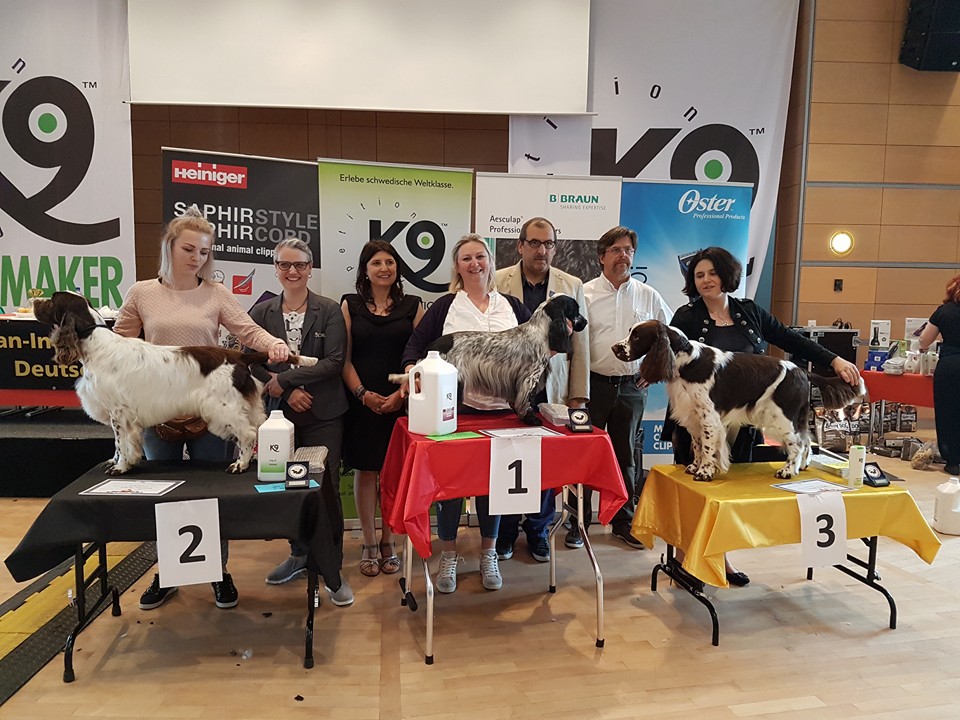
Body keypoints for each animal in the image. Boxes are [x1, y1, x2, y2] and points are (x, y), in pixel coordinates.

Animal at [34, 291, 317, 474]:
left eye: (52, 299)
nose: (33, 298)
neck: (95, 342)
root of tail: (237, 355)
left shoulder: (118, 411)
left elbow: (121, 441)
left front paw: (121, 466)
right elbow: (118, 443)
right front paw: (116, 462)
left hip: (223, 406)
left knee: (247, 433)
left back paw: (240, 464)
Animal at [391, 294, 587, 425]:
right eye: (575, 309)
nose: (585, 322)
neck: (541, 330)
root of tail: (432, 346)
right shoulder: (530, 376)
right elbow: (526, 400)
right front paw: (530, 419)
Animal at [612, 320, 866, 481]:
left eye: (637, 335)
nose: (615, 347)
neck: (685, 359)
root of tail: (802, 372)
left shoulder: (709, 416)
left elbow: (707, 446)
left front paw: (704, 473)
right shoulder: (694, 414)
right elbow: (697, 445)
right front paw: (694, 467)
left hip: (782, 417)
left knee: (797, 443)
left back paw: (787, 471)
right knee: (805, 440)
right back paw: (800, 467)